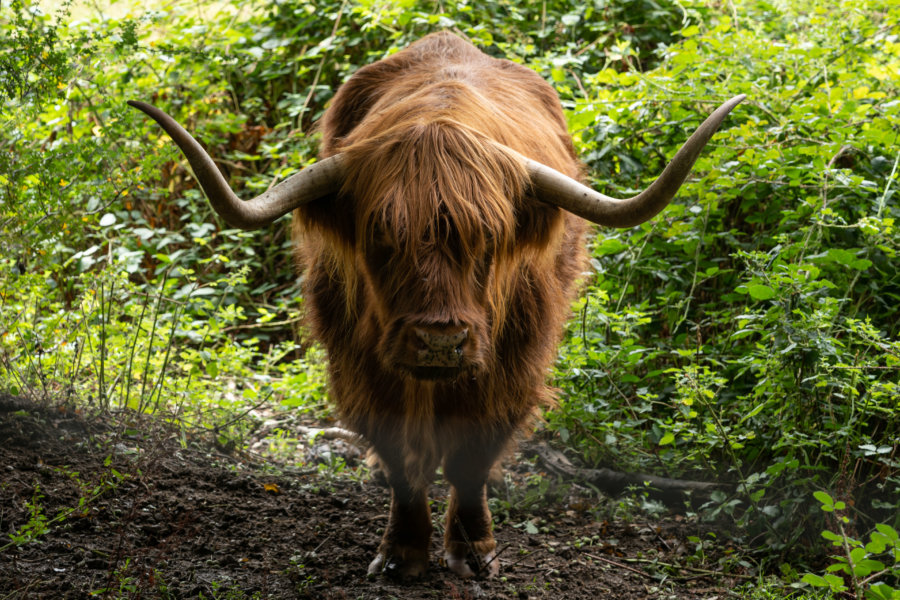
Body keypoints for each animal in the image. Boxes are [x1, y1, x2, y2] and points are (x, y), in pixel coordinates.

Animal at [128, 31, 744, 576]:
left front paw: (474, 551)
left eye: (489, 239)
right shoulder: (358, 360)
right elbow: (400, 456)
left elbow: (471, 457)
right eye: (381, 238)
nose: (440, 342)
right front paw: (402, 552)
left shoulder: (513, 361)